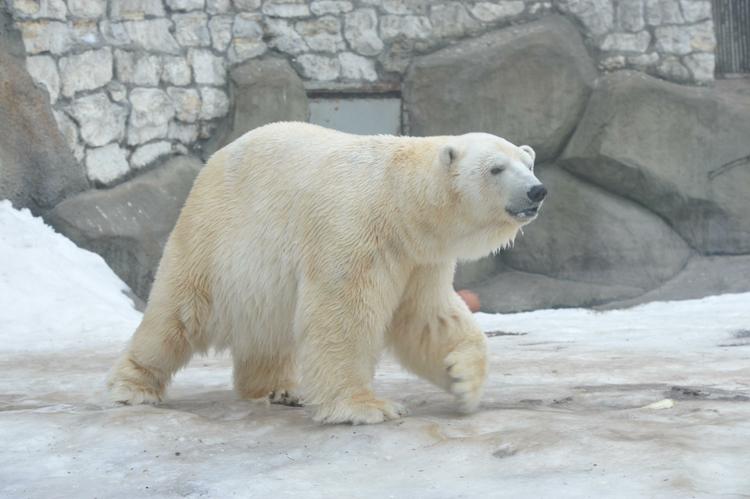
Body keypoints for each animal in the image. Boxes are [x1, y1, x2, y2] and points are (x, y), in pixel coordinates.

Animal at [107, 123, 548, 424]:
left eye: (528, 162)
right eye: (496, 168)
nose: (537, 190)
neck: (398, 201)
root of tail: (212, 162)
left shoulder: (419, 258)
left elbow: (427, 316)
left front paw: (462, 380)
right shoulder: (355, 229)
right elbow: (343, 314)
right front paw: (367, 407)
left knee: (265, 330)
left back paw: (279, 388)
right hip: (213, 236)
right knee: (177, 314)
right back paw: (132, 387)